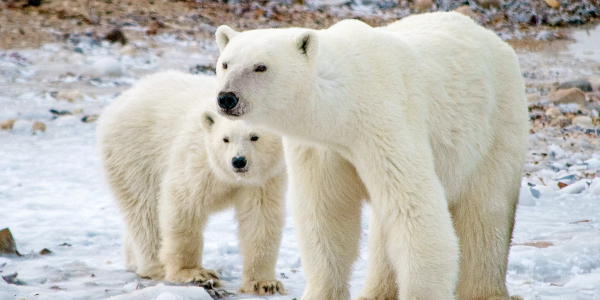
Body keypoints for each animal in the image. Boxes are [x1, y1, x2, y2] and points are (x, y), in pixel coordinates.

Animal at [95, 71, 286, 296]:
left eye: (254, 137)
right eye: (225, 139)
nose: (238, 161)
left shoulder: (264, 179)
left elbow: (260, 218)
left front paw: (263, 283)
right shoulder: (196, 161)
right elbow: (183, 207)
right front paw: (194, 273)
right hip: (134, 152)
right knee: (145, 209)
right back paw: (155, 266)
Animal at [213, 11, 528, 300]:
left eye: (261, 67)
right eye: (225, 63)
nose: (226, 98)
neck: (345, 103)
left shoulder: (384, 122)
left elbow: (412, 206)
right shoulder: (322, 148)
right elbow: (326, 213)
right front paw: (322, 292)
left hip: (497, 124)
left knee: (487, 213)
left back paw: (485, 291)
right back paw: (376, 292)